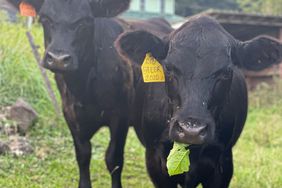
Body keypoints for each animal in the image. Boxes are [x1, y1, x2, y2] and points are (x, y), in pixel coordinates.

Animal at [7, 0, 174, 188]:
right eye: (44, 18)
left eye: (85, 21)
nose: (58, 59)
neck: (83, 88)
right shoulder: (70, 113)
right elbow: (83, 155)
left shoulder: (120, 116)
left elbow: (114, 159)